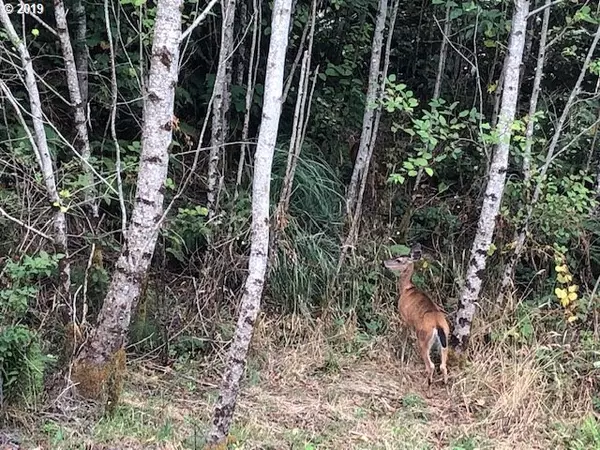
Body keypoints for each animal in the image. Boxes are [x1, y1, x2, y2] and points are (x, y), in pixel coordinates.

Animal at [384, 244, 450, 392]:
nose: (385, 262)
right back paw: (445, 386)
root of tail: (438, 325)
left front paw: (401, 358)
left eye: (399, 260)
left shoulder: (405, 317)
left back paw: (427, 386)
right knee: (443, 365)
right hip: (445, 340)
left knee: (431, 365)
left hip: (424, 339)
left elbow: (404, 339)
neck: (406, 289)